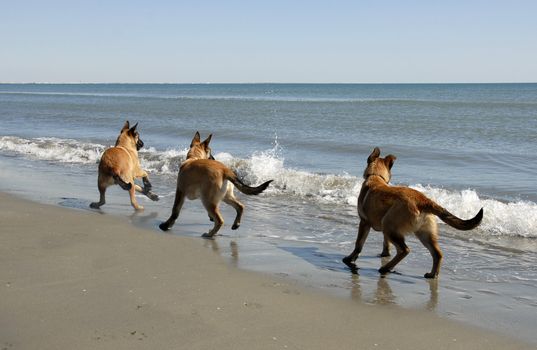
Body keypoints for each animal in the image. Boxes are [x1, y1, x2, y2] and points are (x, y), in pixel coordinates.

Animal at [342, 148, 484, 278]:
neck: (375, 176)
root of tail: (423, 200)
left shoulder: (364, 222)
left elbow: (358, 244)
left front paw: (350, 259)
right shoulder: (383, 230)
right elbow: (386, 243)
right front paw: (384, 254)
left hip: (389, 224)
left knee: (404, 250)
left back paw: (386, 268)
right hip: (423, 233)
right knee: (437, 254)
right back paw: (432, 274)